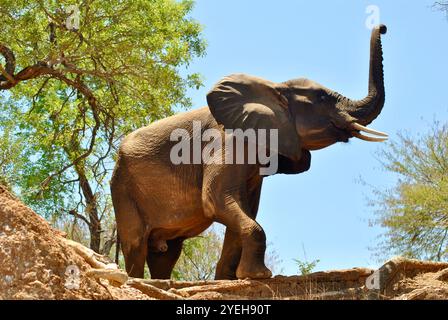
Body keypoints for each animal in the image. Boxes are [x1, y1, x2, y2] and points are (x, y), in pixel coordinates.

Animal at [111, 25, 388, 280]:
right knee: (136, 246)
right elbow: (218, 201)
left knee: (167, 253)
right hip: (123, 189)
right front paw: (259, 276)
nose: (383, 27)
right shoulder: (228, 144)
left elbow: (245, 209)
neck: (275, 87)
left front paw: (232, 278)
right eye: (322, 99)